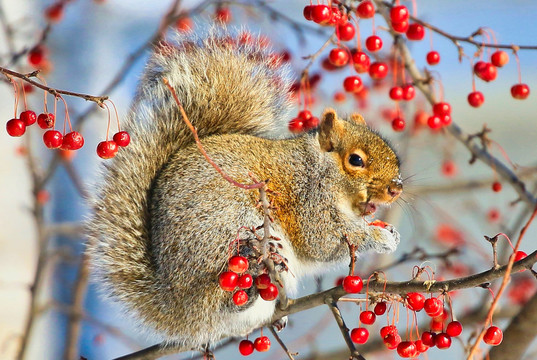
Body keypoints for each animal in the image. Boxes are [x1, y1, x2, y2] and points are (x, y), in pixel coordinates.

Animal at [86, 29, 400, 352]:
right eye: (356, 160)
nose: (396, 187)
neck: (320, 168)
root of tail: (176, 308)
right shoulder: (308, 197)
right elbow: (322, 240)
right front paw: (380, 236)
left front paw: (386, 229)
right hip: (230, 234)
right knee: (221, 300)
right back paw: (244, 294)